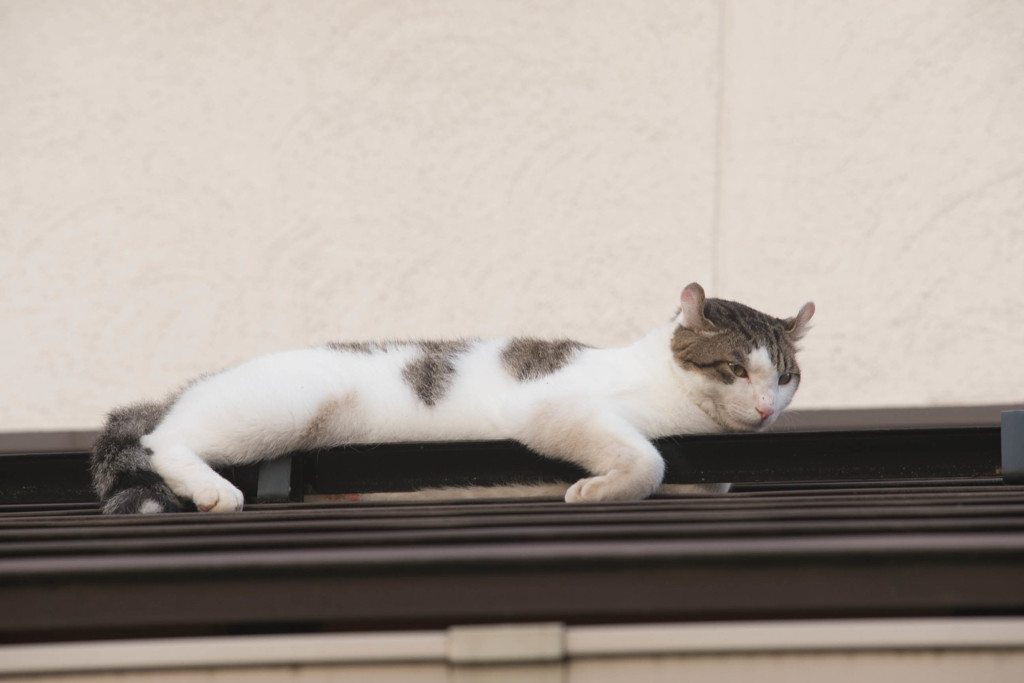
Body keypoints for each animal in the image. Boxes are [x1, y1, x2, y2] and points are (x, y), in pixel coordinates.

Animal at [92, 282, 811, 511]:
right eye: (736, 369)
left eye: (784, 378)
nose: (763, 407)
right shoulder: (549, 407)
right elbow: (648, 458)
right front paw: (600, 488)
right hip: (278, 412)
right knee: (163, 439)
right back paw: (213, 488)